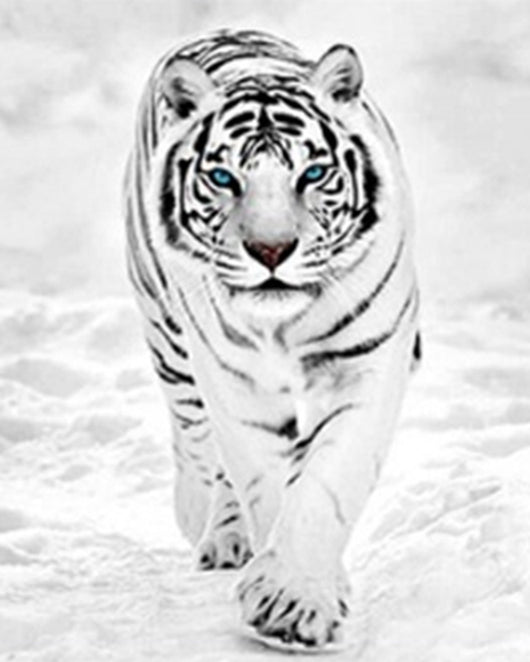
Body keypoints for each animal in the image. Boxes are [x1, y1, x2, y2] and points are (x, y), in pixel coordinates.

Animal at [123, 29, 420, 650]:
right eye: (223, 178)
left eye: (311, 175)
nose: (271, 251)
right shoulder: (234, 380)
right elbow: (263, 476)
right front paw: (291, 593)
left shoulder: (366, 363)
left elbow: (326, 480)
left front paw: (297, 599)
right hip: (169, 337)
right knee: (195, 439)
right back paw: (209, 527)